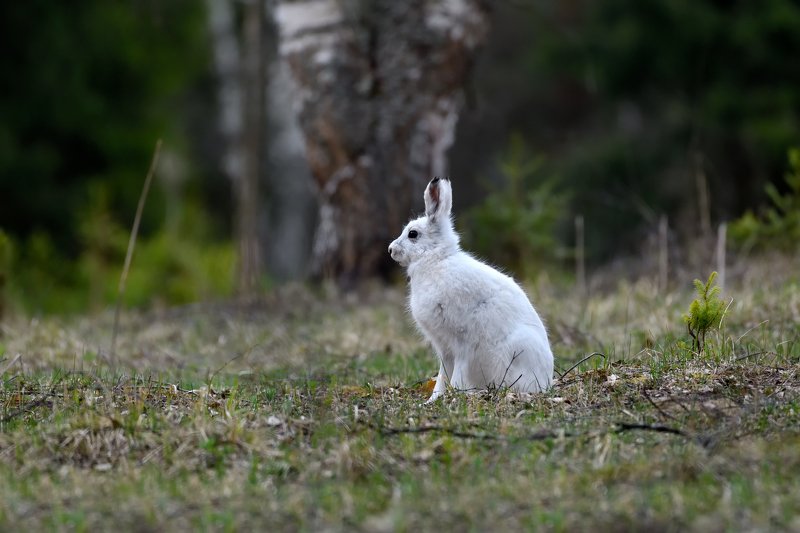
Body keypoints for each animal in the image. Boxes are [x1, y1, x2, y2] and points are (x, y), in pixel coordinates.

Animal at [388, 177, 554, 403]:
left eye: (412, 234)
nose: (390, 250)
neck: (436, 259)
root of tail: (546, 380)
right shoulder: (444, 348)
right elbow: (442, 374)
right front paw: (433, 400)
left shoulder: (461, 343)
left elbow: (457, 371)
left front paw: (454, 395)